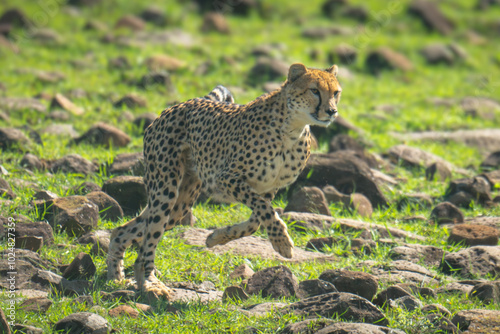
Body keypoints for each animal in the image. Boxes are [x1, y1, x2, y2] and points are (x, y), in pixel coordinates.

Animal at [108, 63, 344, 300]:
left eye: (336, 93)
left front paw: (216, 237)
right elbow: (265, 212)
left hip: (180, 203)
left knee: (124, 231)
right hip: (165, 191)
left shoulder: (269, 188)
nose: (332, 111)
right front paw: (282, 243)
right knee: (147, 241)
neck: (292, 128)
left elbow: (257, 220)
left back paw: (116, 276)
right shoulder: (226, 179)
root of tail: (179, 105)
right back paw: (150, 283)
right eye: (314, 90)